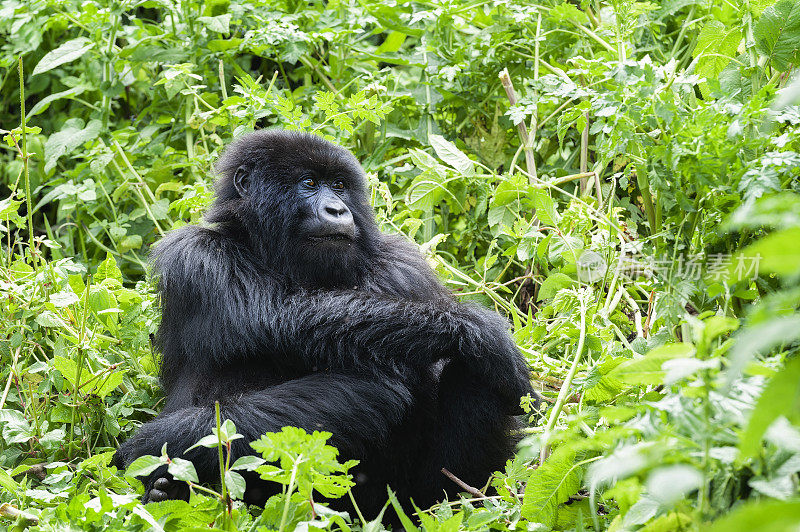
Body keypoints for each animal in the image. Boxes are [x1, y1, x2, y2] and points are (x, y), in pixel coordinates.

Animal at [114, 130, 536, 520]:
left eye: (339, 186)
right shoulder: (197, 255)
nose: (337, 210)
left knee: (474, 376)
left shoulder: (403, 266)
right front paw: (476, 328)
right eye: (310, 183)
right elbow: (280, 318)